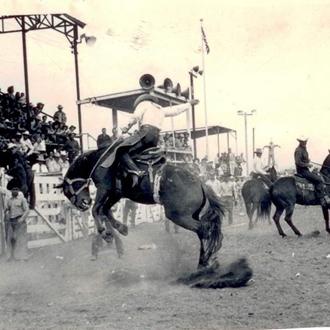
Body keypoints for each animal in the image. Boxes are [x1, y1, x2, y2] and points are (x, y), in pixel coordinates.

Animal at [58, 139, 253, 288]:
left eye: (67, 190)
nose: (82, 203)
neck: (99, 160)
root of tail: (200, 183)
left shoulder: (105, 189)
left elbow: (97, 209)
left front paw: (105, 233)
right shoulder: (116, 193)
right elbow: (105, 210)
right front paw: (121, 228)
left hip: (178, 215)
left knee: (204, 230)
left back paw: (204, 265)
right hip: (189, 215)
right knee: (205, 231)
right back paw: (205, 263)